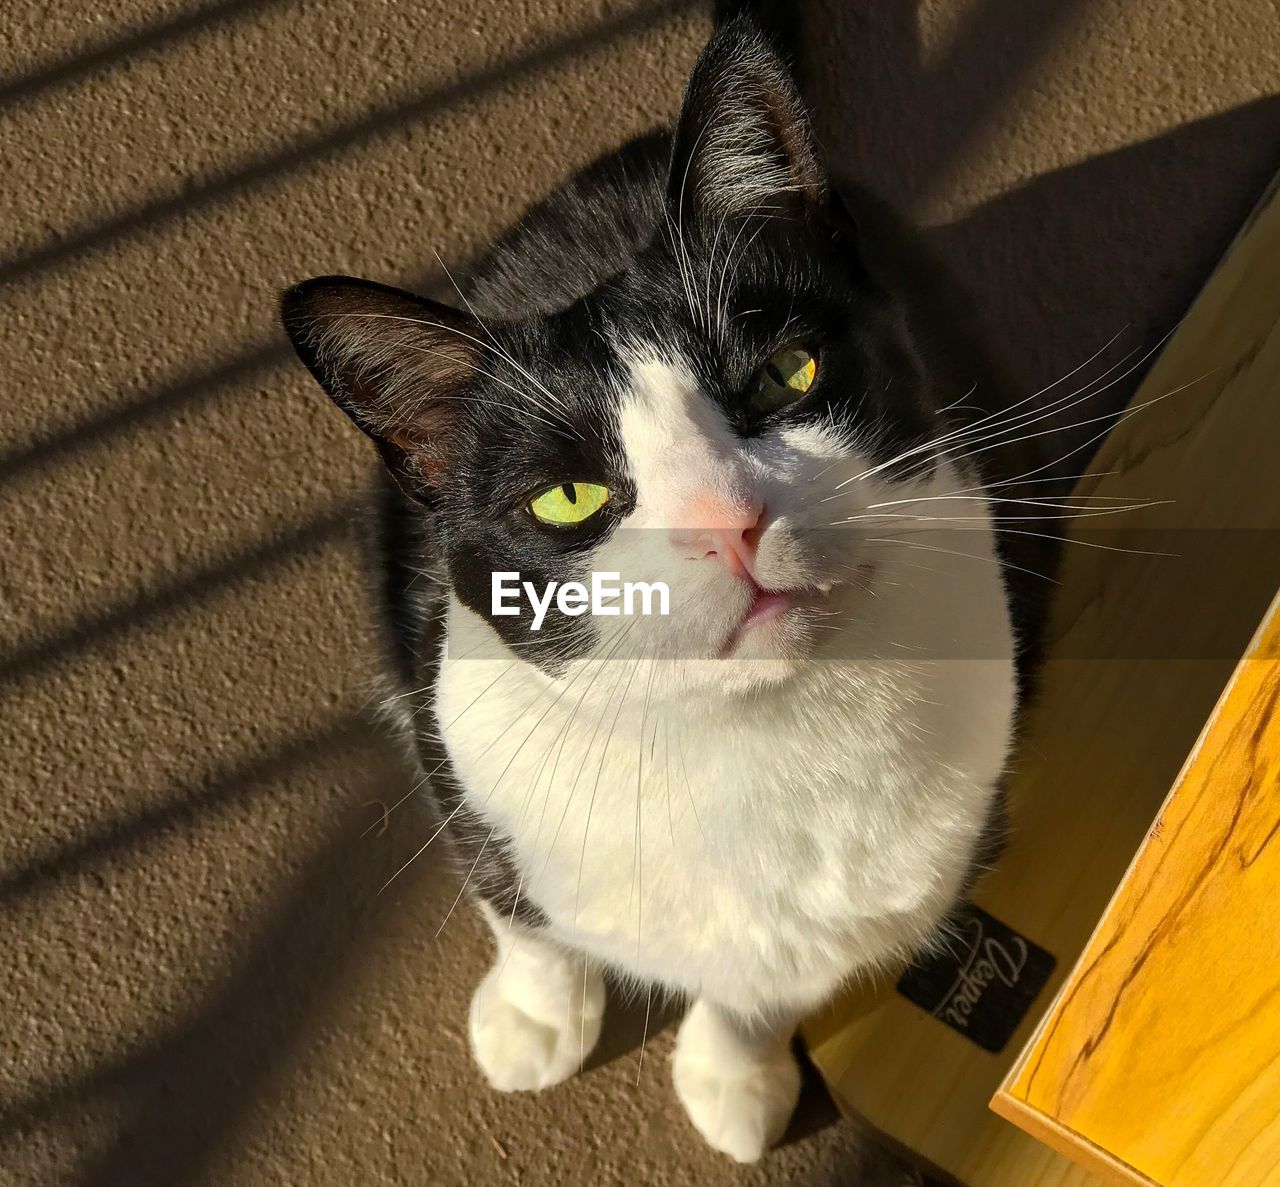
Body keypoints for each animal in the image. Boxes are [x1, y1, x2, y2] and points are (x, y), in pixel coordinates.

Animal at [285, 2, 1054, 1167]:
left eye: (785, 375)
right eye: (568, 496)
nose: (726, 524)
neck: (740, 742)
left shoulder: (899, 875)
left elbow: (765, 986)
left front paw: (734, 1076)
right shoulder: (454, 740)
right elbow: (516, 908)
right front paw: (536, 1016)